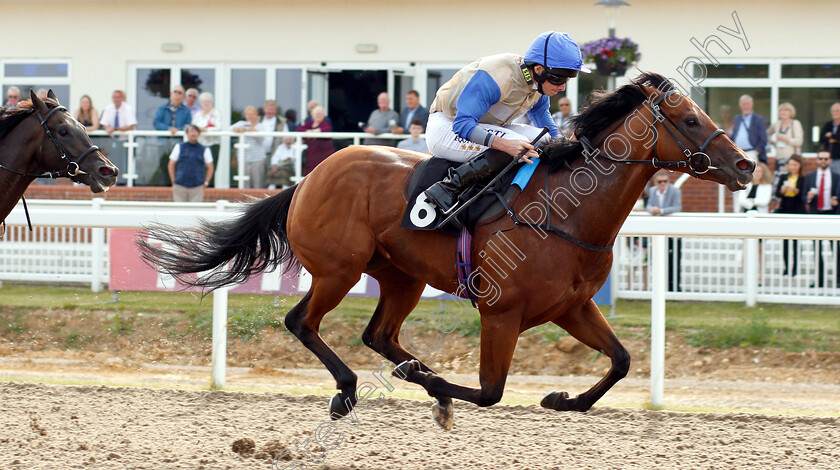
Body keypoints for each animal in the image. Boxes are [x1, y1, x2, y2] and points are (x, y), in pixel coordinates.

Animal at [139, 71, 756, 428]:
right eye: (689, 119)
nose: (747, 164)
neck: (567, 212)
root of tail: (311, 175)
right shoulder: (501, 313)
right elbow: (489, 392)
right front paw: (440, 391)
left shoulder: (573, 307)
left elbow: (623, 359)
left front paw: (564, 400)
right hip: (339, 270)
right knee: (302, 322)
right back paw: (350, 391)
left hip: (402, 276)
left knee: (379, 335)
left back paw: (408, 373)